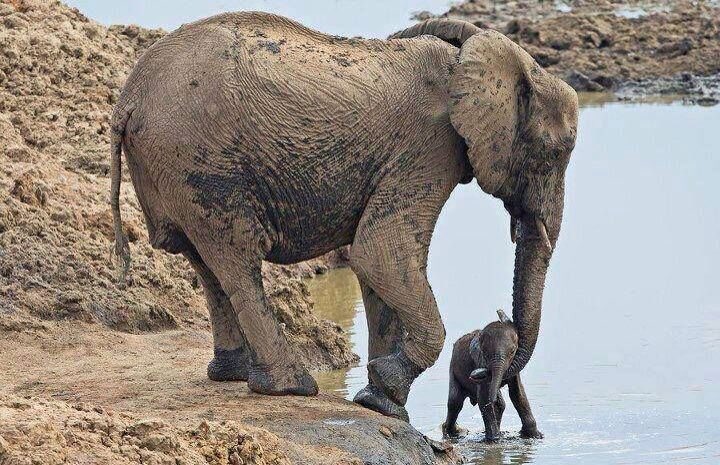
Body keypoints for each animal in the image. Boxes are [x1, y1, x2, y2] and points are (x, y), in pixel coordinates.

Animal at [110, 13, 578, 420]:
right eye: (554, 153)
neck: (475, 57)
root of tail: (127, 101)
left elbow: (375, 271)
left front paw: (384, 403)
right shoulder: (429, 147)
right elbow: (380, 254)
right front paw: (382, 392)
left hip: (172, 165)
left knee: (204, 260)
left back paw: (233, 375)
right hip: (202, 161)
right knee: (237, 256)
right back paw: (290, 386)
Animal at [442, 310, 542, 441]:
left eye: (512, 351)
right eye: (485, 354)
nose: (474, 375)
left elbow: (517, 393)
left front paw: (535, 436)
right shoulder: (478, 360)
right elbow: (483, 397)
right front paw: (494, 439)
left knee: (501, 404)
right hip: (453, 370)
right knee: (454, 402)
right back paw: (451, 432)